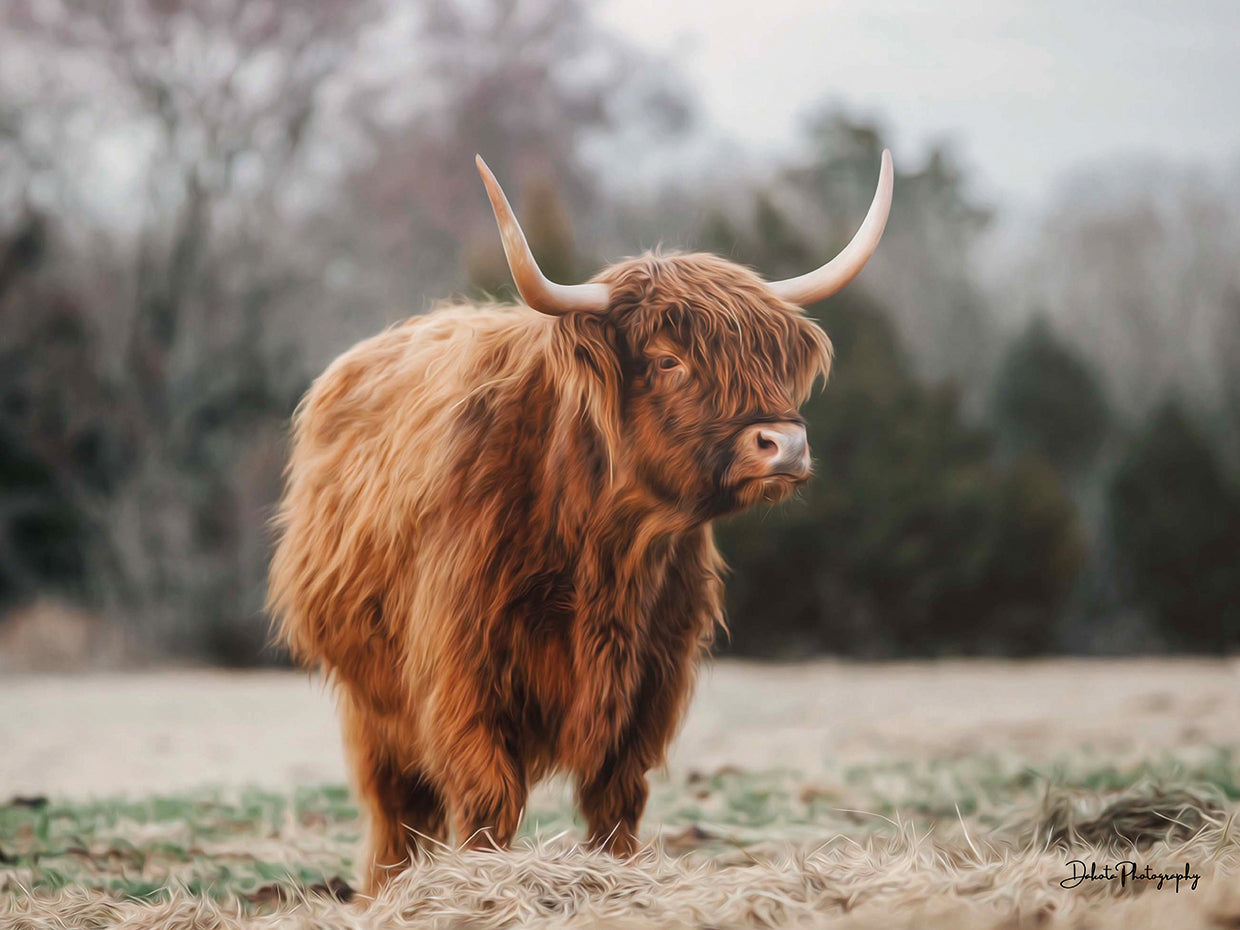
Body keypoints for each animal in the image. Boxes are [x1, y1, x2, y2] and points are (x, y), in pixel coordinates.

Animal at [268, 151, 892, 894]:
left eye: (770, 360)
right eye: (667, 360)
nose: (785, 445)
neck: (606, 547)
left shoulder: (653, 675)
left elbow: (617, 795)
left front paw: (615, 876)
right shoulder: (461, 669)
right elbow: (486, 796)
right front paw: (485, 887)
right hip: (371, 696)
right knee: (395, 808)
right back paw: (385, 893)